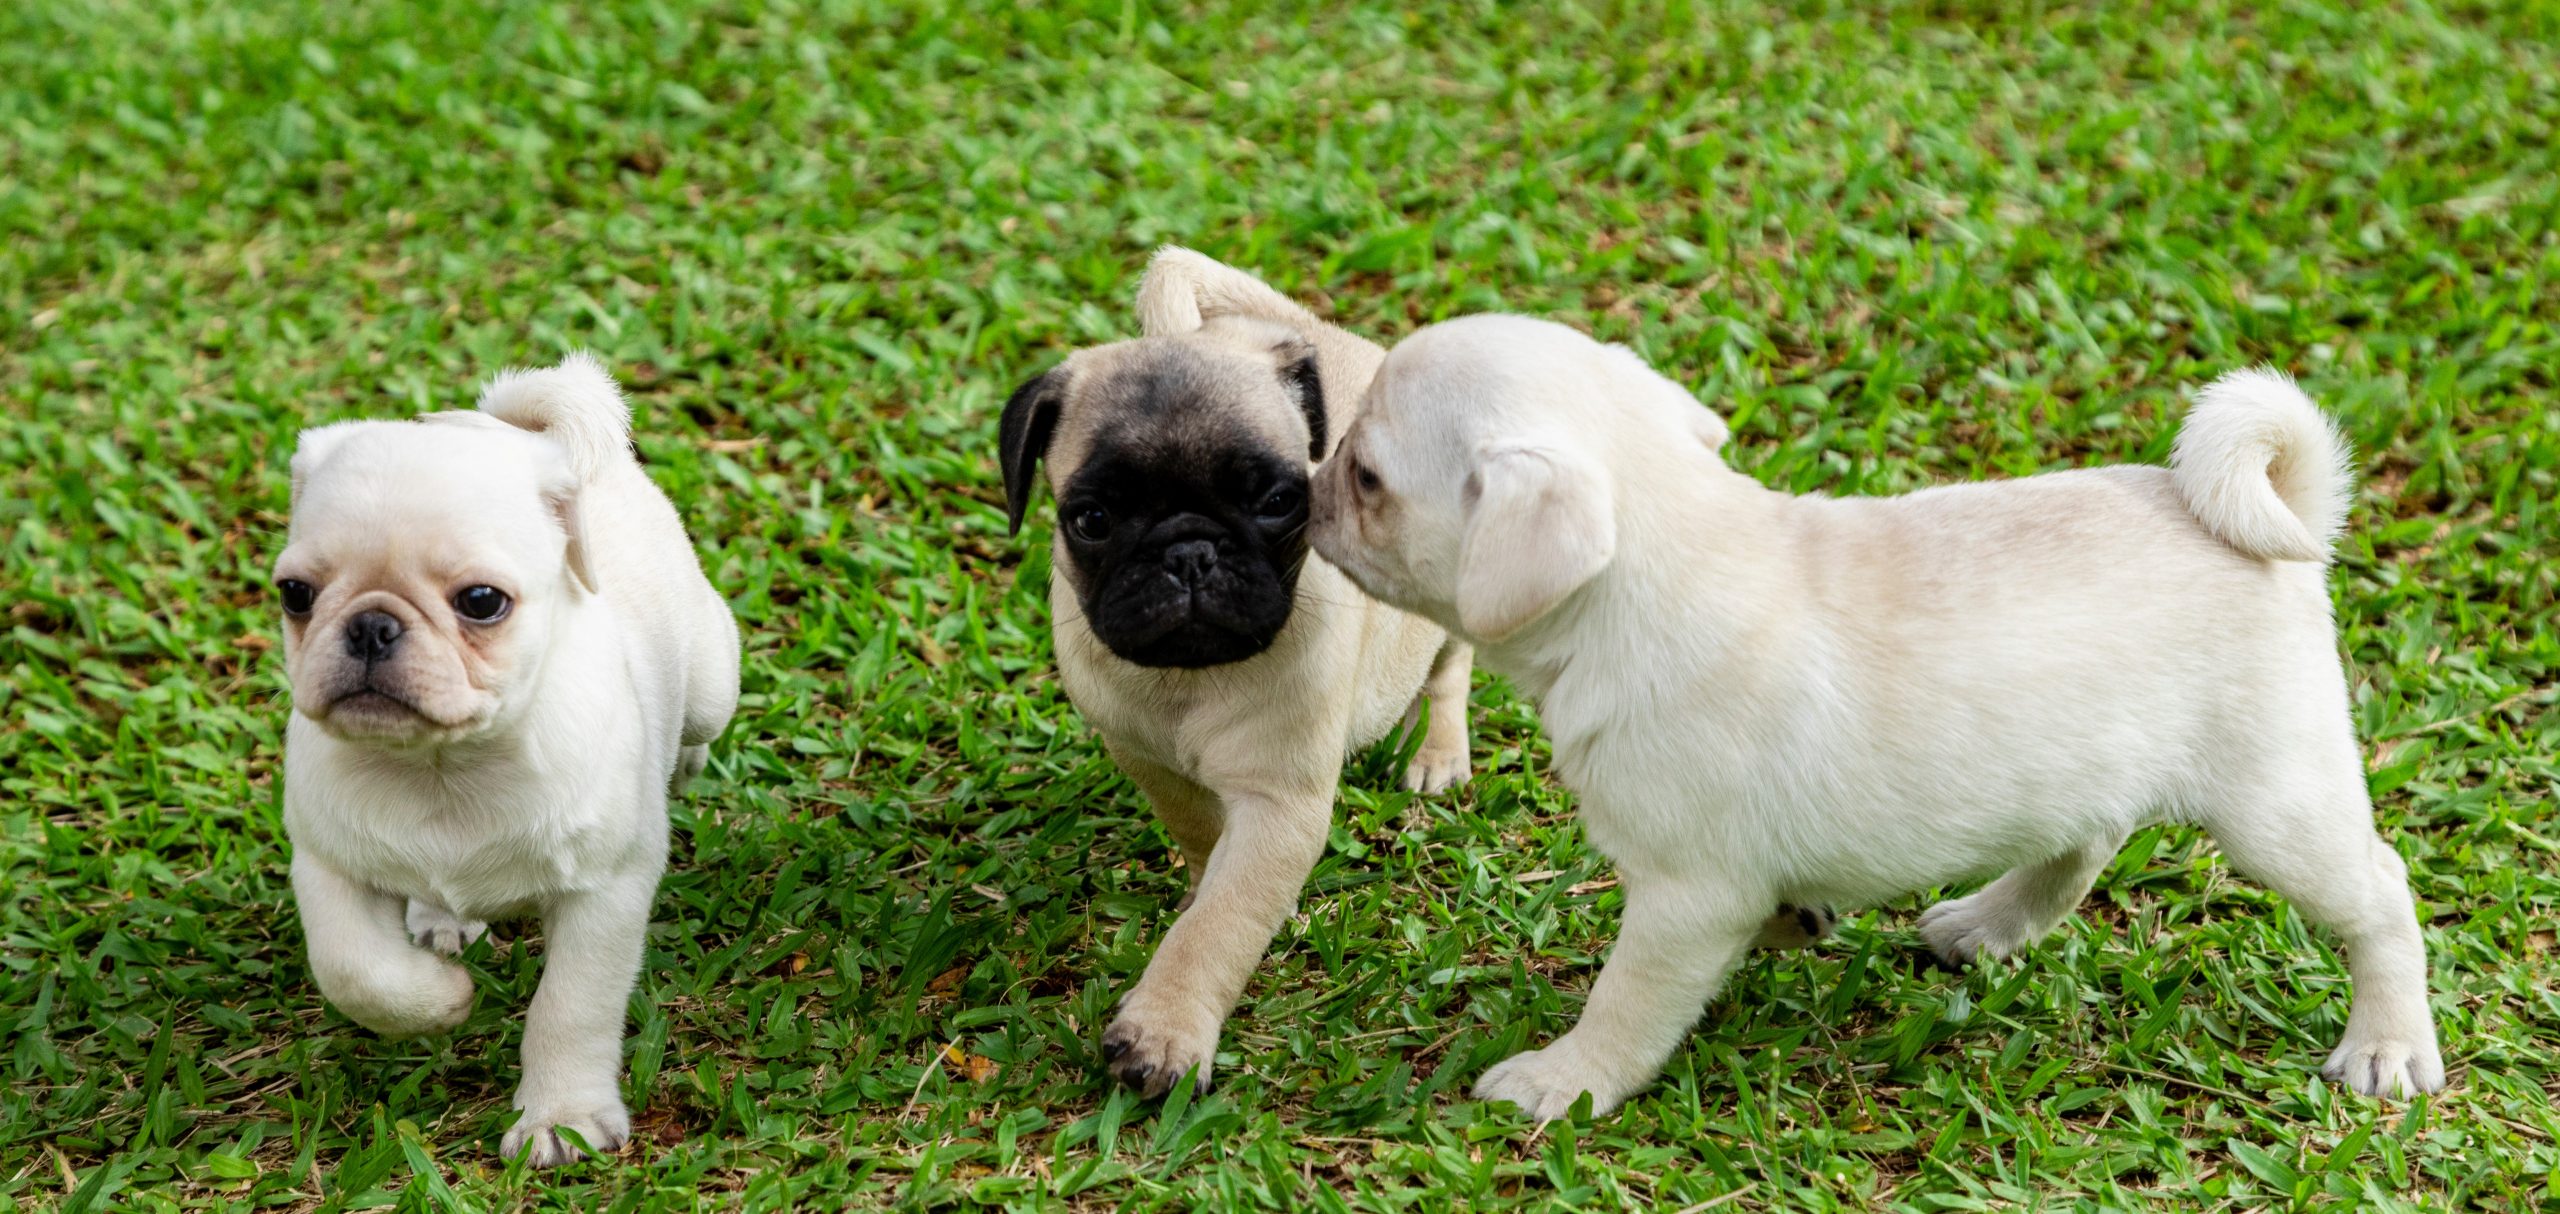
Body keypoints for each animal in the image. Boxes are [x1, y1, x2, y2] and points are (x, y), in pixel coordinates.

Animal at [281, 358, 742, 1167]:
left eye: (481, 602)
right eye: (295, 595)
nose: (371, 625)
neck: (441, 768)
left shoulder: (604, 892)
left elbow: (570, 1008)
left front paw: (562, 1116)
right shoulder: (327, 863)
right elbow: (355, 970)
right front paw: (441, 1000)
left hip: (714, 681)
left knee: (702, 717)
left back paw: (684, 762)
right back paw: (440, 920)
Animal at [998, 248, 1484, 1101]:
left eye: (1279, 501)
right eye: (1091, 520)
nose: (1189, 551)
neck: (1190, 679)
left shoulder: (1281, 805)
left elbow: (1218, 931)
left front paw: (1165, 1030)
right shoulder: (1145, 756)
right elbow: (1199, 835)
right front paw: (1200, 878)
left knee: (1448, 667)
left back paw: (1436, 749)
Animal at [1310, 315, 2447, 1116]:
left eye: (1367, 478)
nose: (1306, 485)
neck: (1654, 565)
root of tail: (2277, 521)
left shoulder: (1683, 899)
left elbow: (1624, 1006)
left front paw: (1564, 1081)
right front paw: (1798, 917)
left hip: (2274, 807)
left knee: (2379, 891)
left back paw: (2387, 1046)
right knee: (2081, 845)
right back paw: (1986, 924)